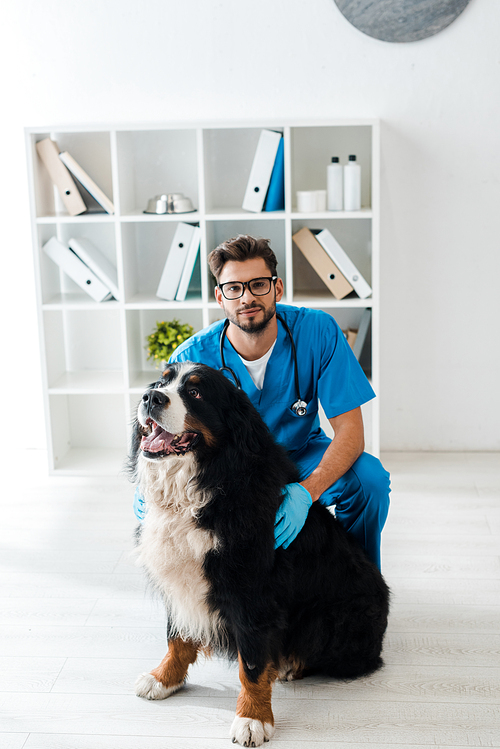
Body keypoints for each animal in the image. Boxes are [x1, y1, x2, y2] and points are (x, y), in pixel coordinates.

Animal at [128, 360, 390, 744]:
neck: (205, 485)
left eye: (195, 392)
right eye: (161, 382)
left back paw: (290, 665)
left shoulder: (252, 592)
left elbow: (251, 664)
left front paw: (253, 718)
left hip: (329, 619)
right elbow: (177, 637)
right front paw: (164, 678)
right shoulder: (181, 579)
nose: (150, 398)